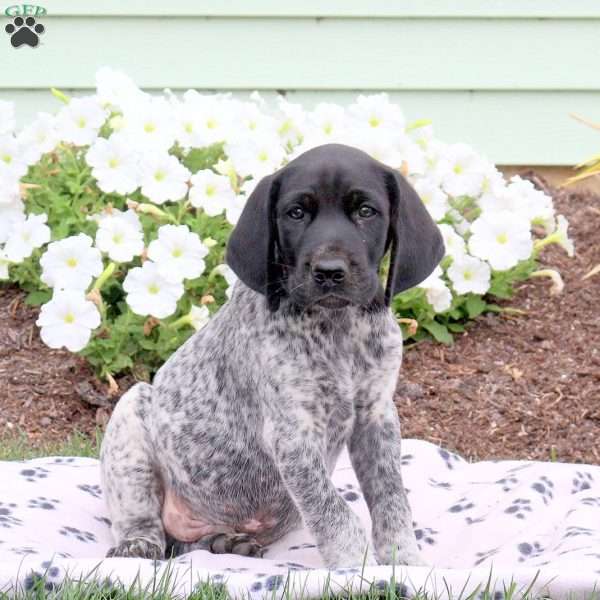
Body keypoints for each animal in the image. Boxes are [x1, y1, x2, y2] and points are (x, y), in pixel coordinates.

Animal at [99, 143, 446, 564]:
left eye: (367, 211)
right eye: (296, 213)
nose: (329, 271)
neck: (339, 329)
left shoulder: (376, 418)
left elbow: (391, 500)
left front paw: (405, 561)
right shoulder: (293, 434)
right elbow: (336, 515)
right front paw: (356, 568)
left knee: (187, 546)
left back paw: (224, 542)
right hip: (131, 416)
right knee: (147, 526)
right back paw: (138, 545)